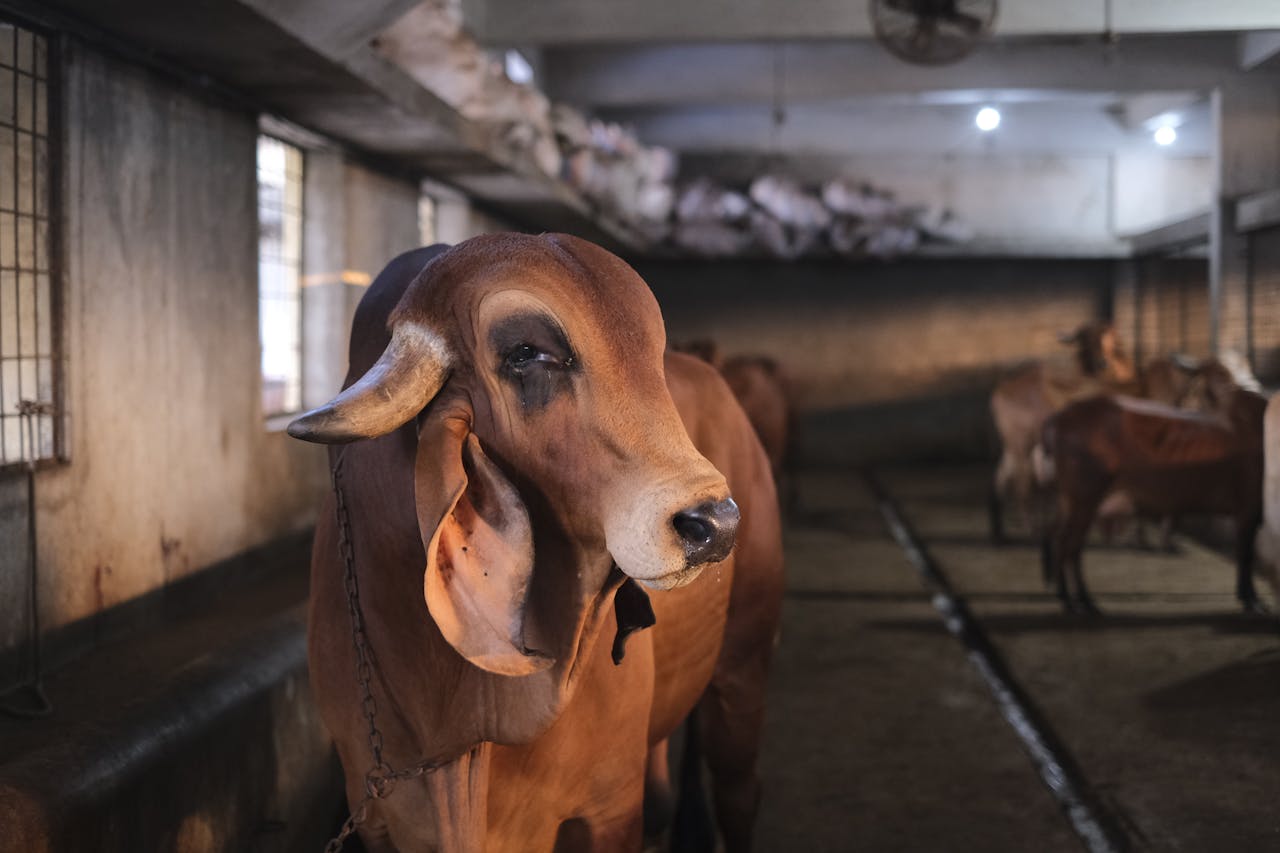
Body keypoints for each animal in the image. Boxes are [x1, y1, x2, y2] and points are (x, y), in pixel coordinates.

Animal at [288, 234, 784, 852]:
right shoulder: (377, 811)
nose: (714, 523)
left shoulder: (610, 809)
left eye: (652, 357)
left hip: (744, 661)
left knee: (739, 790)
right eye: (525, 353)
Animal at [1038, 360, 1268, 615]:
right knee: (1068, 545)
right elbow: (1246, 555)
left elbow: (1244, 553)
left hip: (1072, 499)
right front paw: (1252, 601)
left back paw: (1074, 598)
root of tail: (1059, 418)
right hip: (1085, 497)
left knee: (1059, 538)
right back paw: (1077, 602)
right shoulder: (1249, 506)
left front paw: (1247, 597)